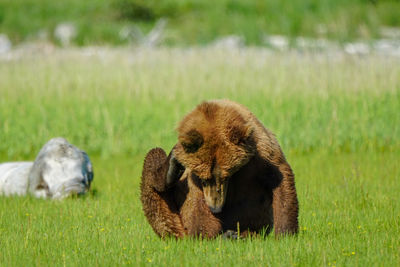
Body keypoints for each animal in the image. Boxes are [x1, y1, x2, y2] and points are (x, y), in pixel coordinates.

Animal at [139, 99, 298, 239]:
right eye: (204, 178)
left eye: (226, 176)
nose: (215, 208)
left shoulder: (262, 152)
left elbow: (280, 179)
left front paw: (285, 234)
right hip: (176, 223)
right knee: (154, 158)